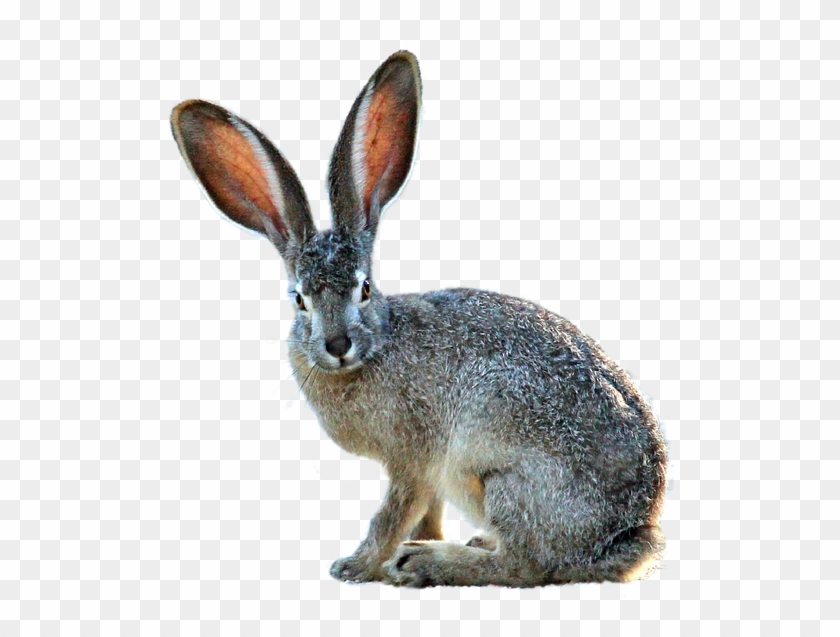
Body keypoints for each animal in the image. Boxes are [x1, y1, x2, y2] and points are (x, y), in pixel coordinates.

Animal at [170, 50, 667, 588]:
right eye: (299, 299)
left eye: (365, 288)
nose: (338, 344)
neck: (377, 345)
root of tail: (630, 535)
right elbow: (423, 512)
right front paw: (402, 551)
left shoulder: (415, 454)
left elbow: (394, 511)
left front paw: (358, 565)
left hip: (505, 480)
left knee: (528, 563)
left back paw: (429, 562)